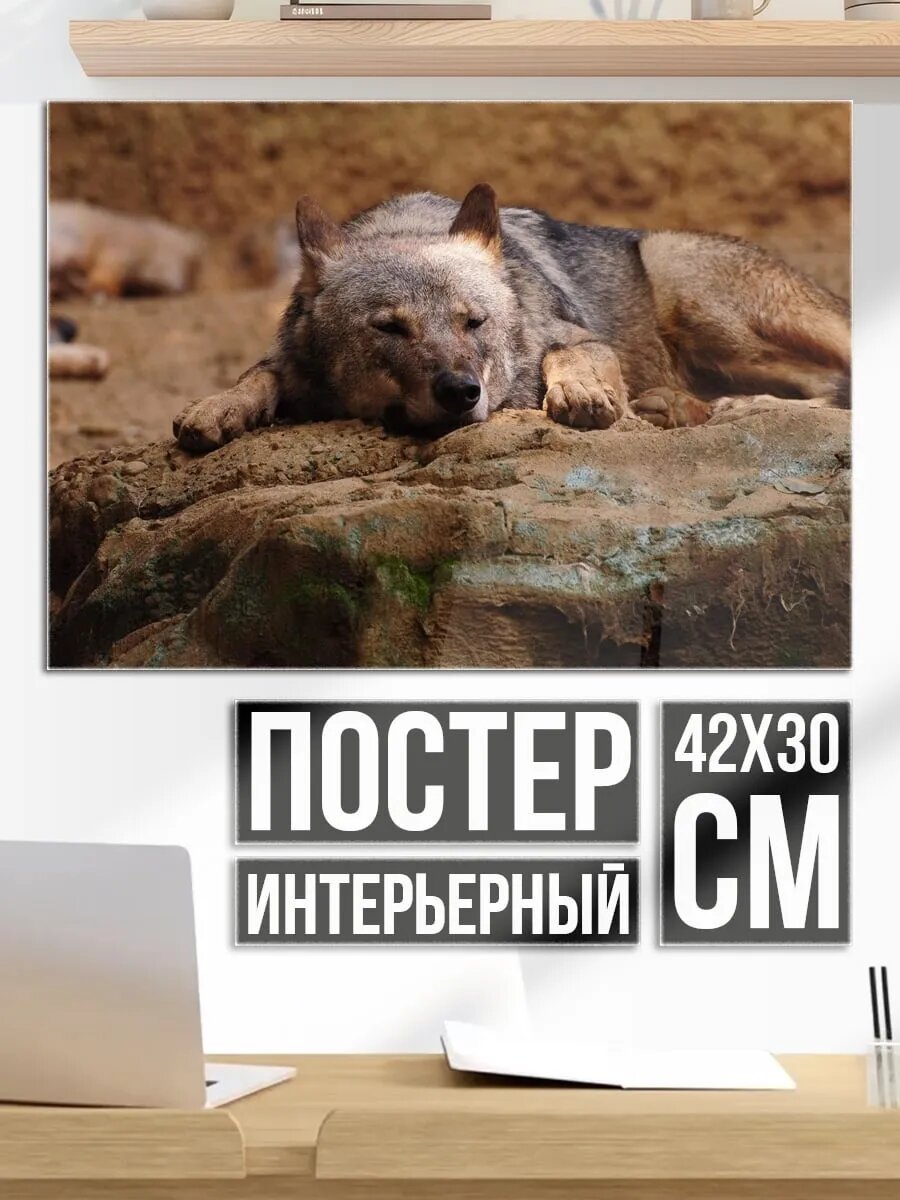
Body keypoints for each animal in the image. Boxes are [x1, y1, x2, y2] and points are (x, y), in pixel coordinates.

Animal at [173, 185, 850, 453]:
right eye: (390, 328)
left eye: (474, 323)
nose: (461, 391)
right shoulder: (286, 358)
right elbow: (258, 375)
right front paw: (216, 408)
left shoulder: (572, 335)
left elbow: (571, 353)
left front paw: (583, 394)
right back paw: (680, 407)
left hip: (685, 285)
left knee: (836, 385)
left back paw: (730, 408)